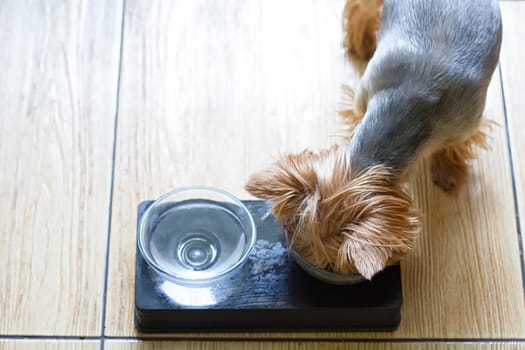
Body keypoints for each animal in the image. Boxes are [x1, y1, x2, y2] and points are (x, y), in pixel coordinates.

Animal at [244, 0, 502, 278]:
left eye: (330, 264)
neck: (409, 108)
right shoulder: (362, 97)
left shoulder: (467, 121)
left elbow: (454, 146)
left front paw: (447, 171)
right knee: (362, 9)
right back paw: (362, 43)